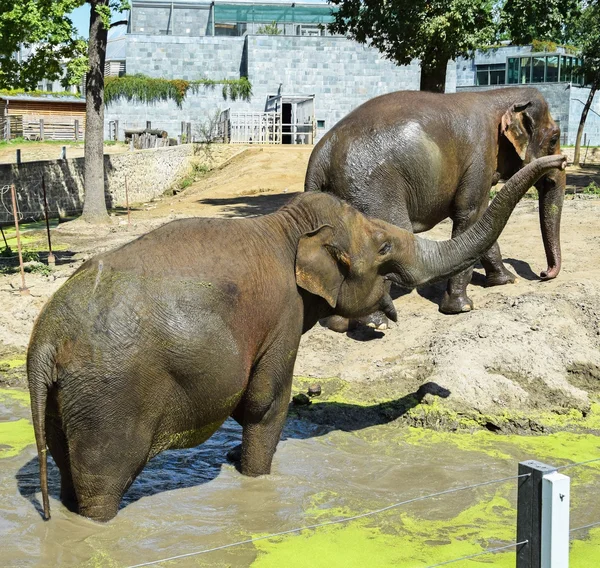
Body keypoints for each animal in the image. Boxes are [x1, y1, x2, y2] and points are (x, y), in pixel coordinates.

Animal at [27, 153, 564, 520]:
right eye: (384, 248)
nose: (558, 159)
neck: (285, 224)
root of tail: (45, 342)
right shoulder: (284, 316)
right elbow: (266, 404)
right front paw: (253, 474)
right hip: (108, 403)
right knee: (100, 490)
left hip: (66, 404)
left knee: (69, 475)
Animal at [308, 86, 564, 326]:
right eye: (554, 139)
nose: (544, 273)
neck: (497, 95)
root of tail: (321, 156)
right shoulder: (480, 155)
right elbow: (470, 213)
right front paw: (461, 308)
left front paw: (507, 281)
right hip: (371, 190)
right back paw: (376, 323)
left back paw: (337, 323)